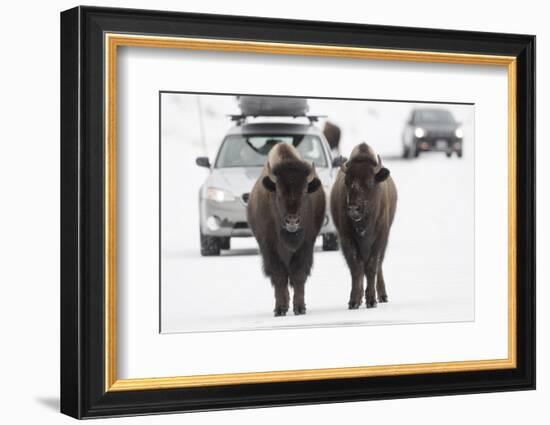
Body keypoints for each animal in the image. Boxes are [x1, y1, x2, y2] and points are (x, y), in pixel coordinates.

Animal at [249, 142, 328, 314]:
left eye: (305, 191)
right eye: (278, 191)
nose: (292, 221)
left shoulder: (306, 245)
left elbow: (298, 275)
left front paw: (299, 308)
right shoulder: (269, 248)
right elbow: (279, 276)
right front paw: (280, 309)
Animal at [330, 142, 398, 308]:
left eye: (369, 181)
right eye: (347, 182)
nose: (353, 208)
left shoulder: (380, 239)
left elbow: (372, 267)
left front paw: (371, 300)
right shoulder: (346, 239)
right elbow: (356, 267)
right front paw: (354, 301)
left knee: (379, 266)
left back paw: (382, 296)